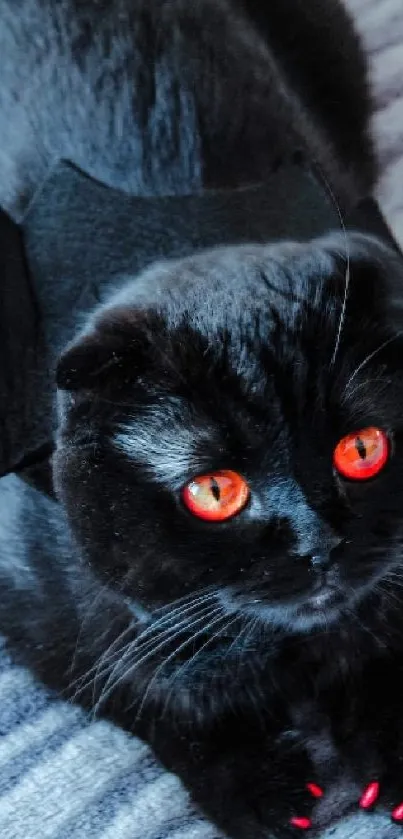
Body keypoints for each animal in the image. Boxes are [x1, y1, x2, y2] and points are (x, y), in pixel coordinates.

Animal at [3, 1, 403, 839]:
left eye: (362, 448)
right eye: (214, 491)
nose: (320, 542)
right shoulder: (36, 604)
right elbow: (142, 685)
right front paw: (253, 783)